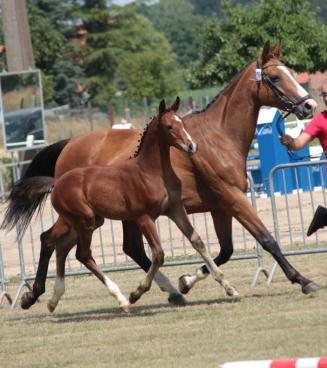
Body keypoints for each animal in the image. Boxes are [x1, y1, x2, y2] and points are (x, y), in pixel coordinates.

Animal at [1, 41, 320, 310]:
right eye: (275, 78)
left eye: (291, 73)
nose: (309, 105)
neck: (218, 136)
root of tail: (69, 145)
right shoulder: (234, 199)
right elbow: (267, 239)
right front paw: (303, 280)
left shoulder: (219, 207)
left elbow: (225, 250)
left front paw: (188, 280)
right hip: (87, 217)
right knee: (51, 240)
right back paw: (37, 295)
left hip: (106, 218)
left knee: (111, 247)